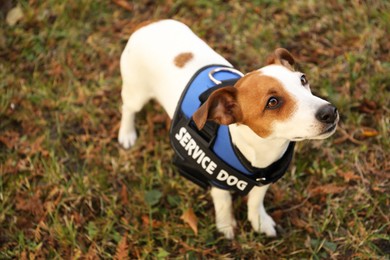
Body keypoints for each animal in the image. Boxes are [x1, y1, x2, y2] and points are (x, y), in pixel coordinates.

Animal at [118, 19, 338, 240]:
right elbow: (223, 203)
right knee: (127, 108)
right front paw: (225, 227)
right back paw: (126, 134)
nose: (330, 112)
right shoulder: (218, 182)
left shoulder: (264, 180)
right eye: (273, 102)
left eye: (303, 79)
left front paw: (259, 221)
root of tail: (149, 23)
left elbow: (256, 200)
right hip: (136, 93)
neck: (262, 150)